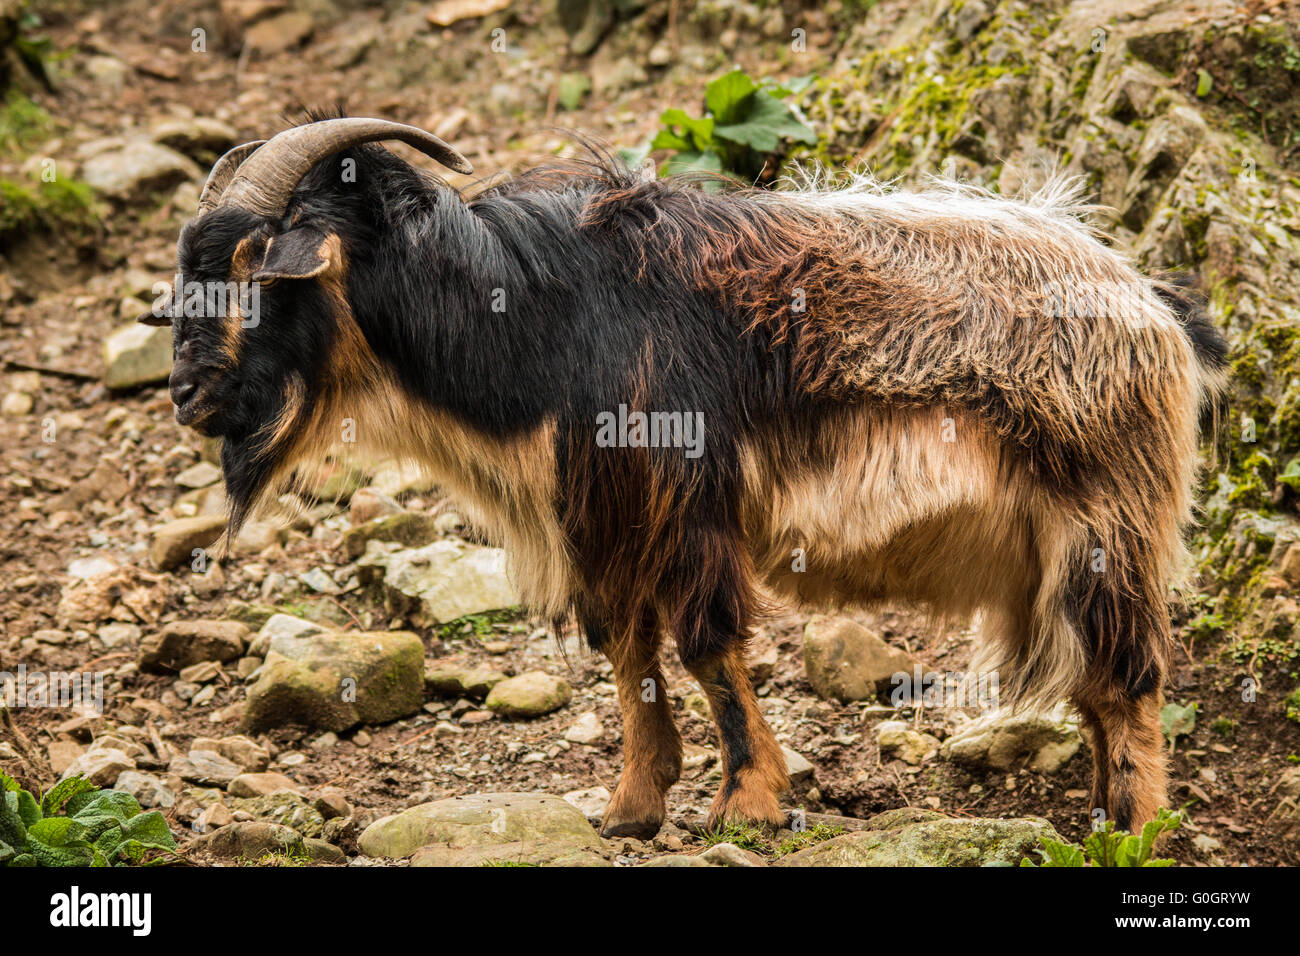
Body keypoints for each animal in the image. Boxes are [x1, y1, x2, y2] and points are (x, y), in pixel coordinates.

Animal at [144, 115, 1227, 842]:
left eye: (253, 266)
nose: (187, 396)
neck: (534, 311)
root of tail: (1155, 307)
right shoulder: (602, 513)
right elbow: (626, 649)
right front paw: (631, 806)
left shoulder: (686, 498)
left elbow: (706, 644)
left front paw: (746, 804)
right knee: (1097, 684)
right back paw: (1099, 817)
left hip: (1105, 526)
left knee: (1131, 675)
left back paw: (1135, 826)